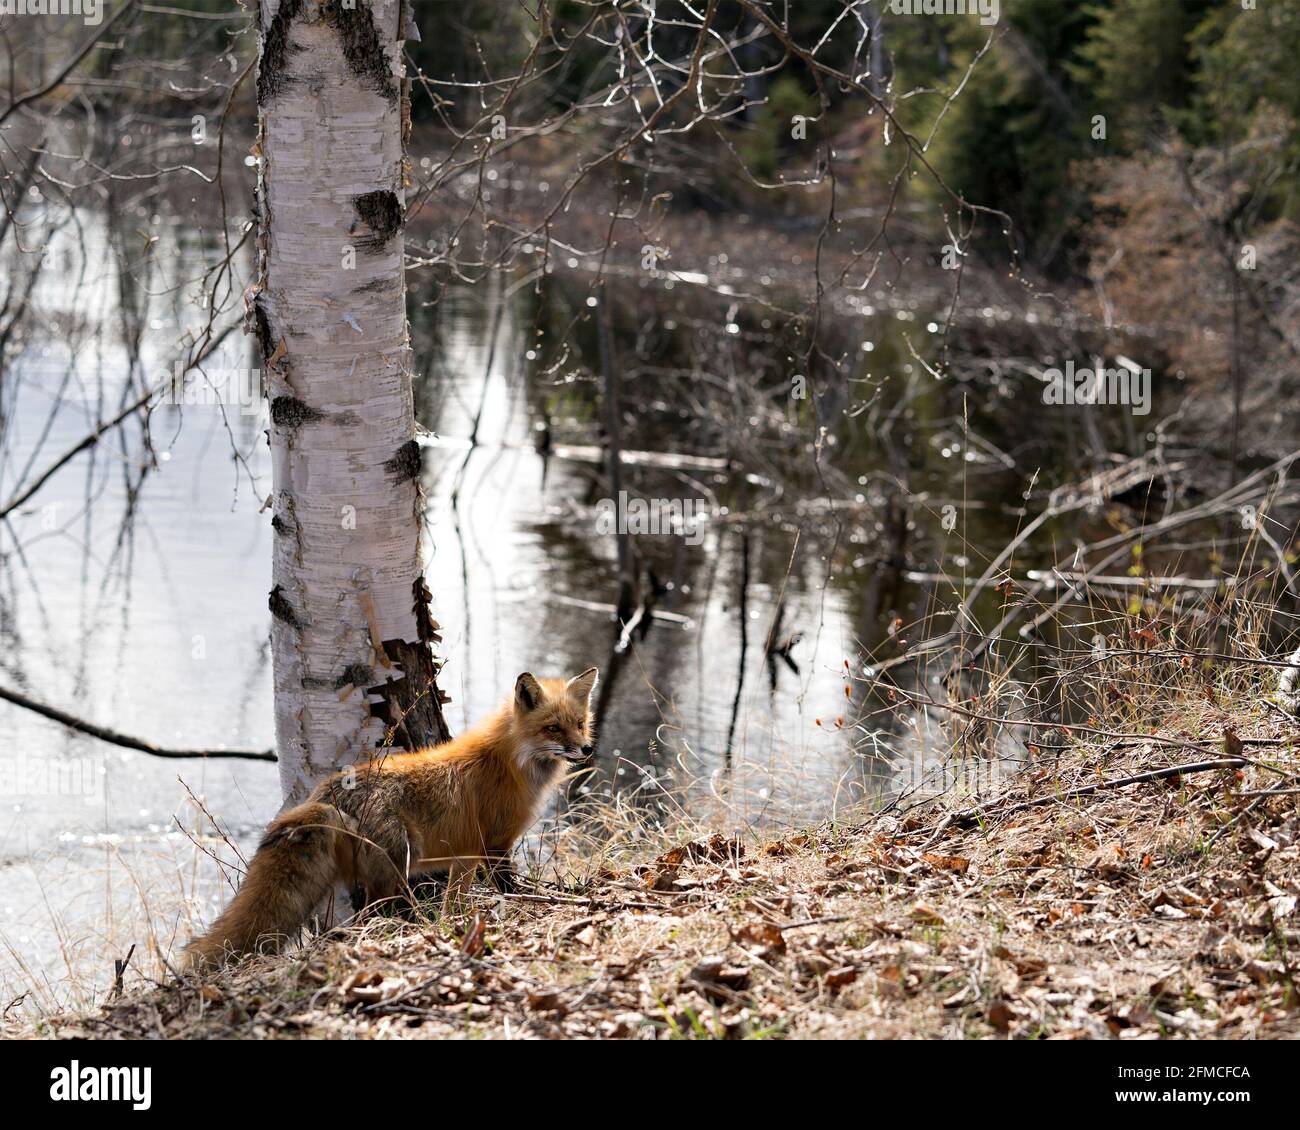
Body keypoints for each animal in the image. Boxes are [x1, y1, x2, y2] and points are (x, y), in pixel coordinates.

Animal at [183, 670, 598, 967]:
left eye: (579, 723)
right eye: (552, 728)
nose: (587, 749)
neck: (512, 763)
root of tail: (328, 794)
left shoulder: (465, 856)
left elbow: (453, 903)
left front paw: (455, 927)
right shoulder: (495, 845)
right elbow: (510, 889)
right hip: (396, 867)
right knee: (369, 920)